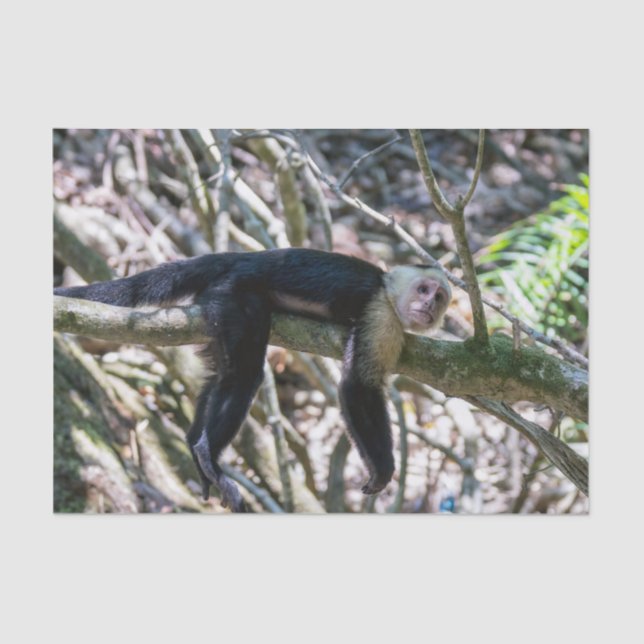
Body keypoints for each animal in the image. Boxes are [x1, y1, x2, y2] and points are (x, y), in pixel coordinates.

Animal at [54, 248, 451, 511]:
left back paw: (197, 452)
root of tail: (240, 256)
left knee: (221, 376)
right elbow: (358, 386)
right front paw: (382, 469)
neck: (387, 288)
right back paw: (209, 454)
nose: (430, 307)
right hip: (235, 294)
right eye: (424, 290)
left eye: (440, 297)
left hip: (216, 306)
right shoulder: (381, 313)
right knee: (245, 375)